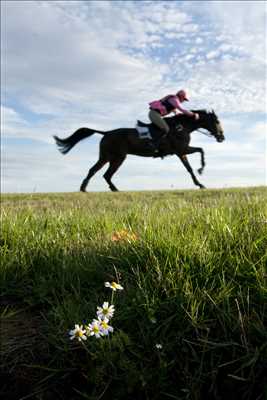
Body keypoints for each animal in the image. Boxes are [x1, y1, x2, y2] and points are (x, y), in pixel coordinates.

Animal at [53, 108, 225, 191]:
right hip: (116, 157)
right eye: (217, 121)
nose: (222, 137)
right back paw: (103, 188)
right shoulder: (181, 150)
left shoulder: (181, 152)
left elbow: (193, 161)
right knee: (103, 173)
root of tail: (106, 132)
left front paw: (200, 181)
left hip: (109, 157)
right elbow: (198, 155)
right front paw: (201, 174)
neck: (182, 126)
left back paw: (91, 188)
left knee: (97, 171)